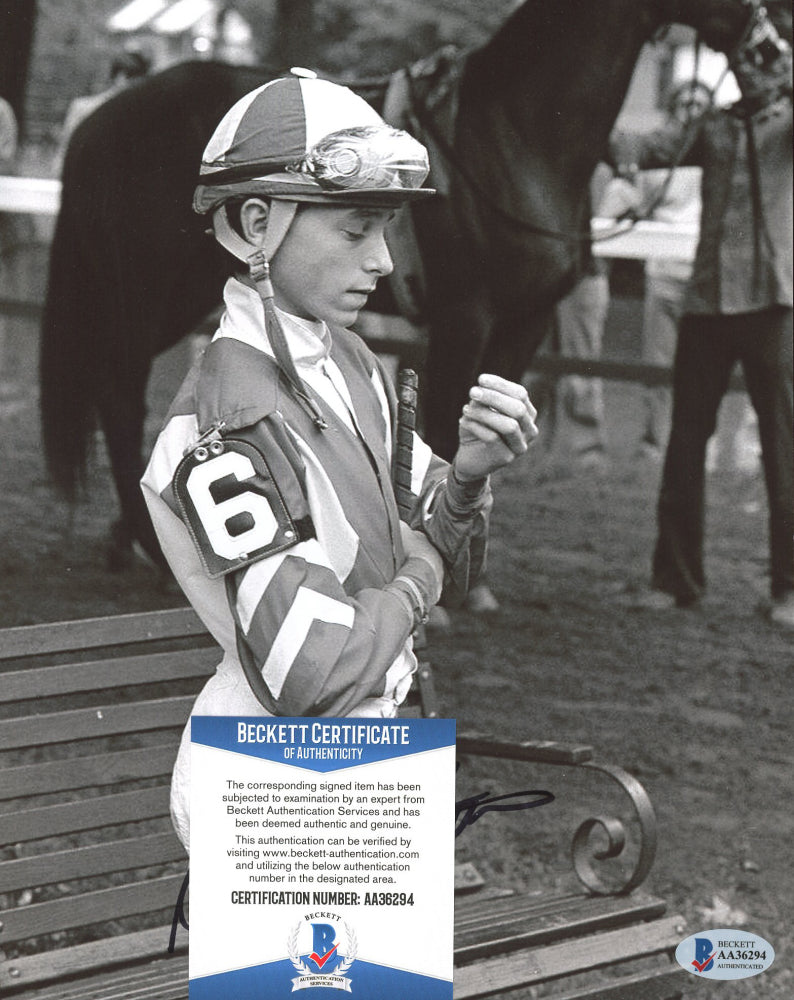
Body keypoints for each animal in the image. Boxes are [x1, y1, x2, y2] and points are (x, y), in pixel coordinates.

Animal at [40, 0, 764, 572]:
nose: (769, 49)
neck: (512, 130)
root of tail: (98, 122)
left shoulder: (525, 320)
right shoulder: (465, 316)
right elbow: (440, 419)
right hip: (140, 292)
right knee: (119, 392)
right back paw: (143, 540)